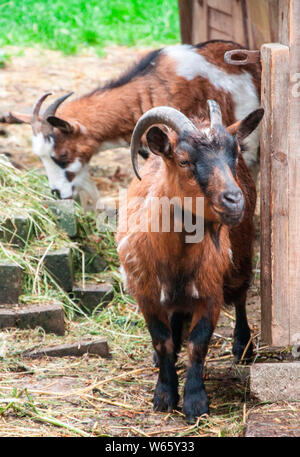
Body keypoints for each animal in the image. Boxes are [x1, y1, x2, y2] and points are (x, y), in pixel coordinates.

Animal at [116, 101, 264, 422]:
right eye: (183, 160)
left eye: (234, 154)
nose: (234, 199)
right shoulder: (146, 295)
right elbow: (162, 340)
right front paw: (163, 395)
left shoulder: (210, 294)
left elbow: (199, 344)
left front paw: (195, 402)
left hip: (241, 256)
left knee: (241, 295)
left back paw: (242, 346)